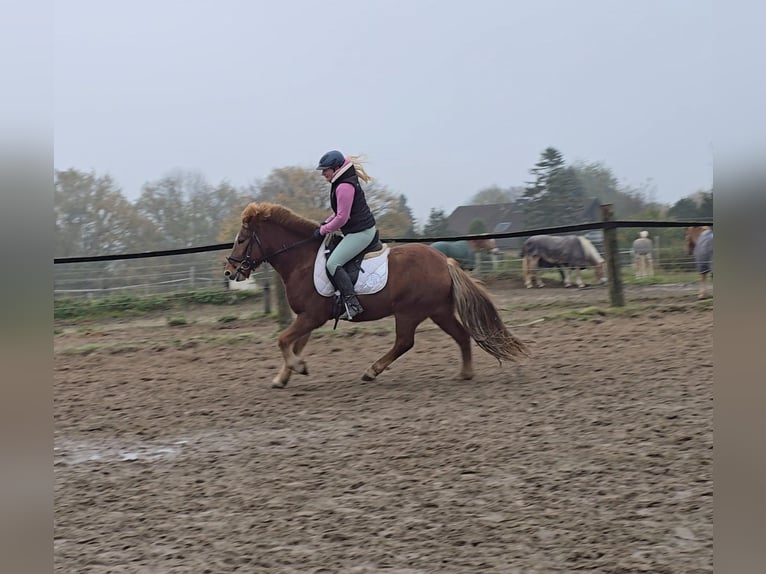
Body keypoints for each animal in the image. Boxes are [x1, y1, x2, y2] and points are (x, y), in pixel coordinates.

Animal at [225, 205, 532, 390]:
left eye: (241, 240)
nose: (230, 271)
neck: (302, 259)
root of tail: (444, 260)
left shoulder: (312, 316)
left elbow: (283, 340)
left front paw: (297, 368)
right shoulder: (307, 318)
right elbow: (294, 344)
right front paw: (283, 376)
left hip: (409, 312)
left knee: (404, 342)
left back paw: (372, 371)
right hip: (438, 311)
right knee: (461, 335)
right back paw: (465, 373)